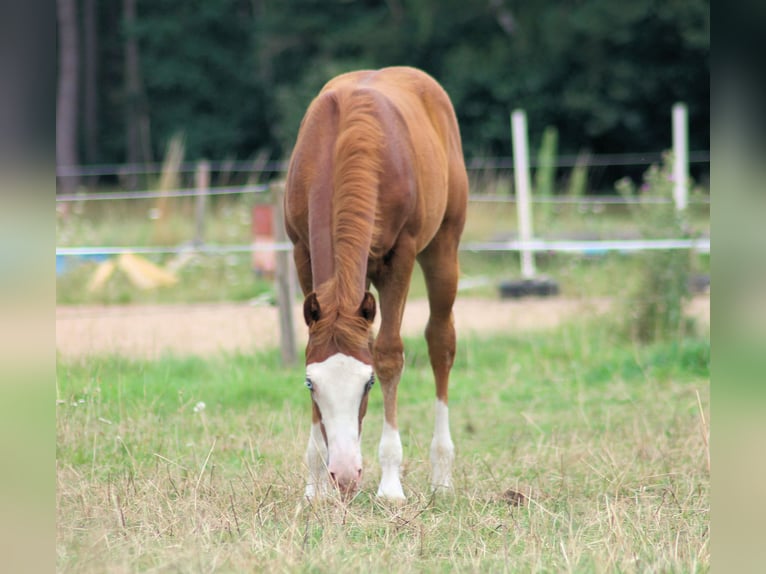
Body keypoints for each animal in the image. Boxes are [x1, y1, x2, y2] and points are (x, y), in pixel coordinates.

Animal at [284, 66, 472, 500]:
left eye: (368, 383)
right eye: (310, 384)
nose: (345, 475)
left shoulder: (400, 256)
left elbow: (389, 354)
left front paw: (390, 484)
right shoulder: (301, 251)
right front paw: (316, 485)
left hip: (443, 247)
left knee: (441, 341)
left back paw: (442, 474)